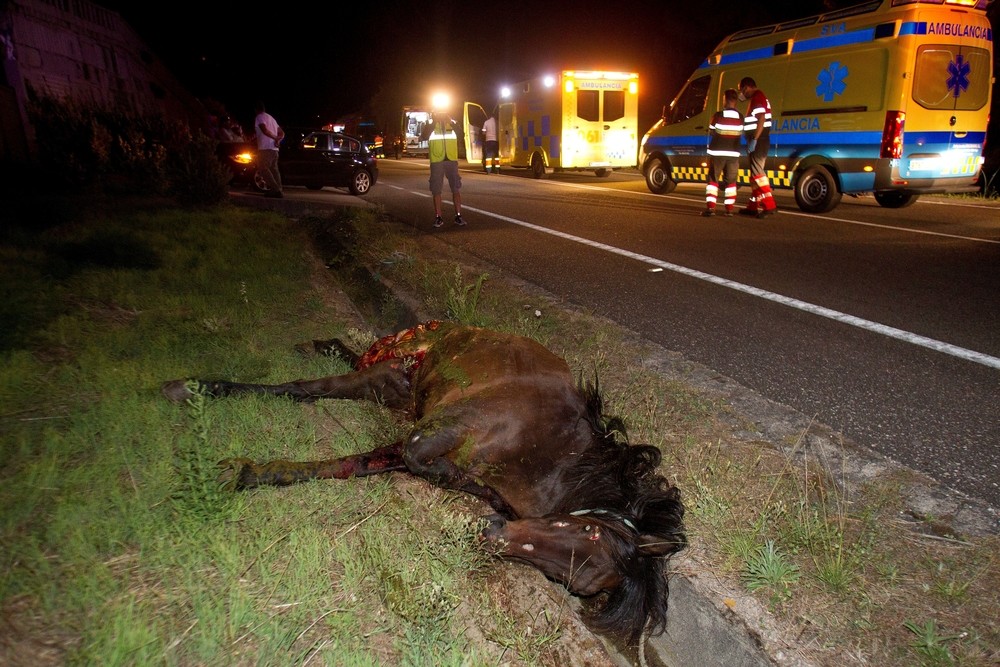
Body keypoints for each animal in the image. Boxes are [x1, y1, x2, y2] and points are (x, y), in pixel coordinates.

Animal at [162, 320, 688, 644]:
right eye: (588, 530)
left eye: (578, 582)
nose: (494, 535)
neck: (548, 449)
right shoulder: (436, 432)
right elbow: (413, 459)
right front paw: (246, 472)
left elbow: (359, 464)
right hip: (392, 372)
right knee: (308, 387)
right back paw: (193, 387)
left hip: (389, 386)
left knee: (320, 386)